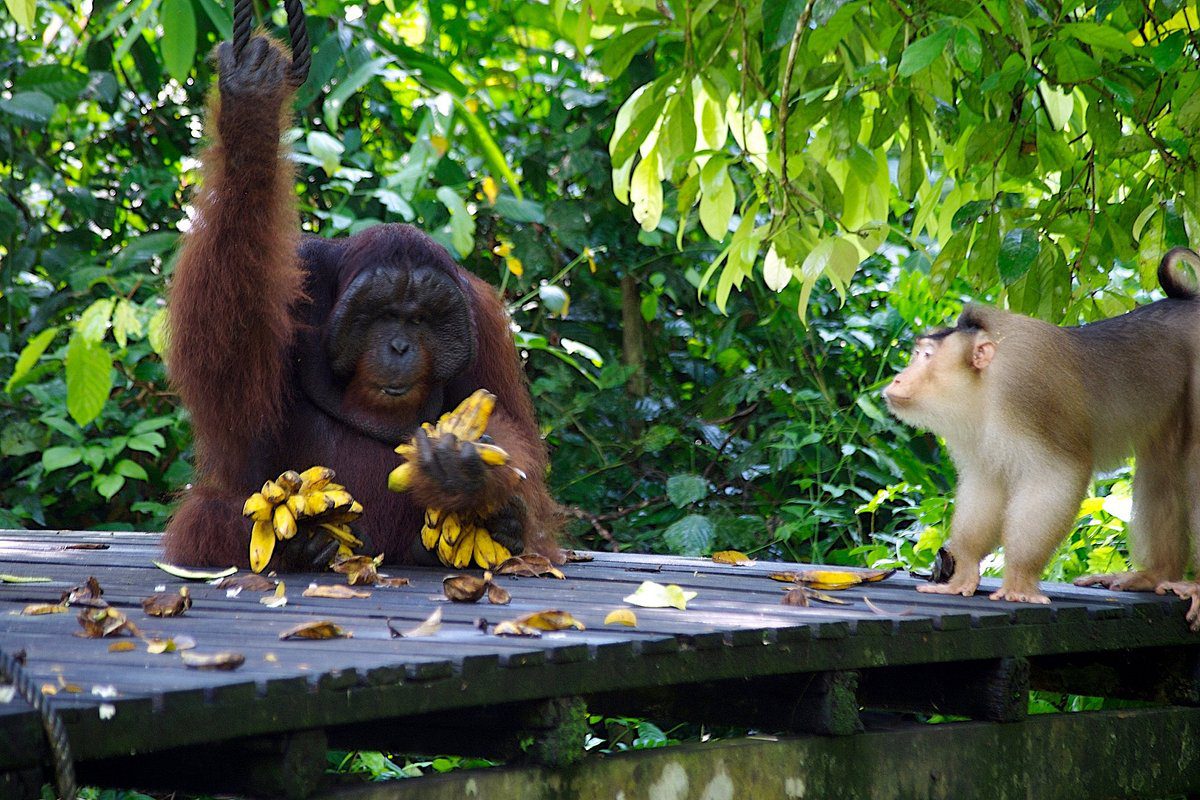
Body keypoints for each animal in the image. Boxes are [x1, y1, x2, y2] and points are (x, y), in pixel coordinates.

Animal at [882, 247, 1200, 606]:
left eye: (925, 356)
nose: (898, 378)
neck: (985, 386)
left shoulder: (1027, 392)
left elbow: (1057, 473)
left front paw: (1019, 580)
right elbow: (986, 484)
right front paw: (962, 572)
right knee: (1161, 467)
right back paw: (1156, 574)